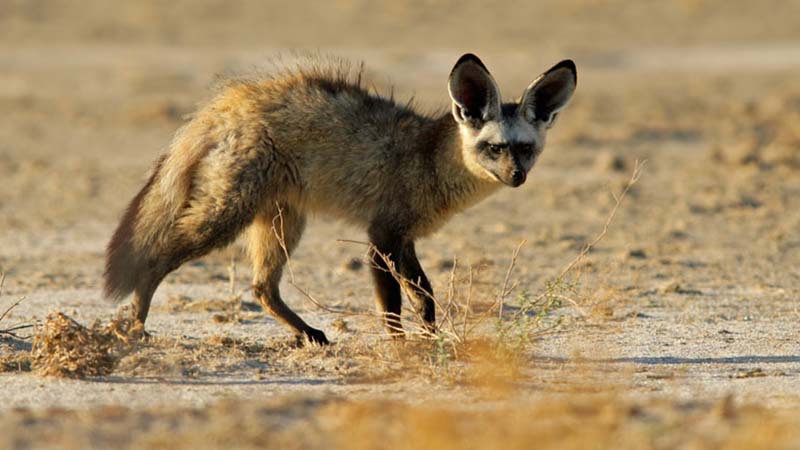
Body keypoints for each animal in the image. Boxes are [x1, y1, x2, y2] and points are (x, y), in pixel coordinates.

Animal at [104, 52, 576, 344]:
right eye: (494, 148)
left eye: (525, 148)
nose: (517, 177)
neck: (428, 159)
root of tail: (231, 101)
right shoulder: (380, 238)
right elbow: (393, 306)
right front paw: (402, 347)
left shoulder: (404, 239)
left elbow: (425, 297)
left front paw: (430, 338)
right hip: (225, 219)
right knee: (155, 260)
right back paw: (136, 326)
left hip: (282, 224)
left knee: (262, 287)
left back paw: (306, 333)